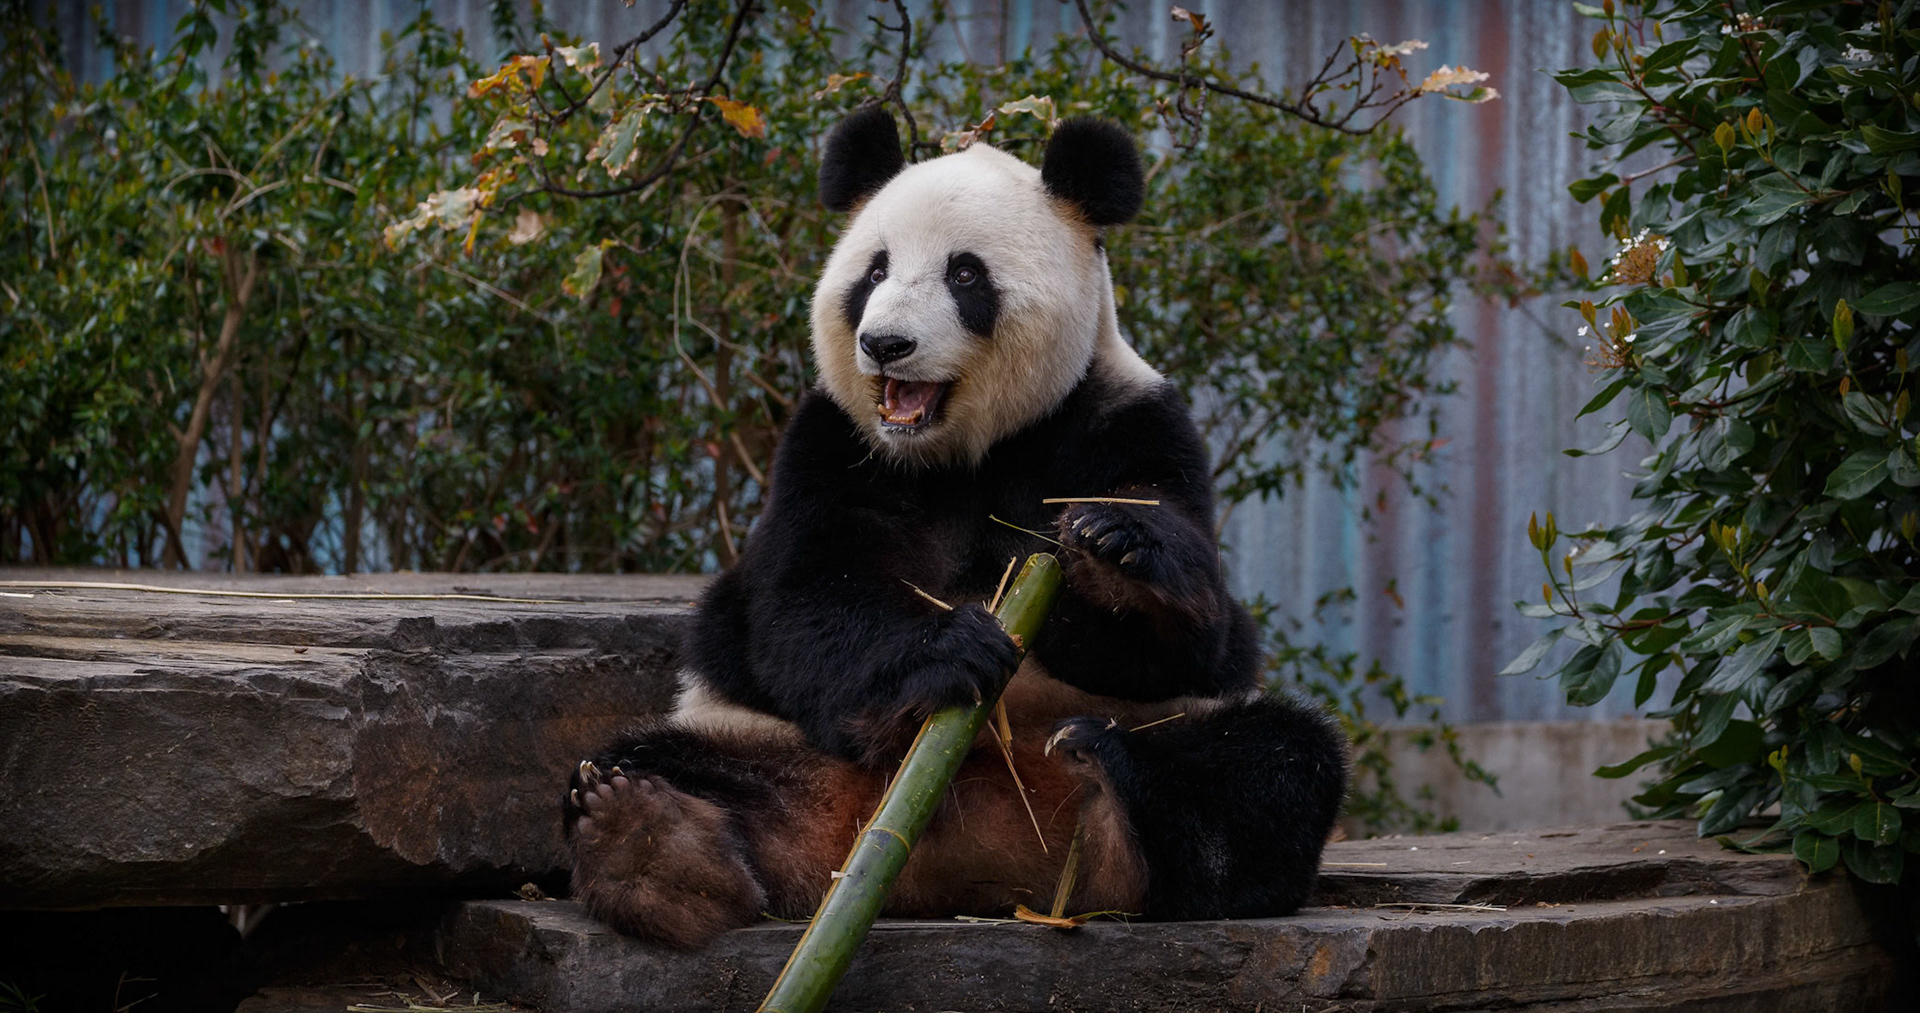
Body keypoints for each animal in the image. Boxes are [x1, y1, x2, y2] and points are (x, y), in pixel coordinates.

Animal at [563, 105, 1348, 950]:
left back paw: (1111, 790)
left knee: (1274, 767)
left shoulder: (1129, 421)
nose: (885, 344)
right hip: (760, 739)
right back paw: (649, 843)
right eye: (874, 272)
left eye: (965, 275)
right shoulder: (835, 444)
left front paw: (1117, 556)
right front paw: (952, 649)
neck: (965, 449)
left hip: (1174, 744)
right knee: (640, 761)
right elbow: (801, 598)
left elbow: (1199, 637)